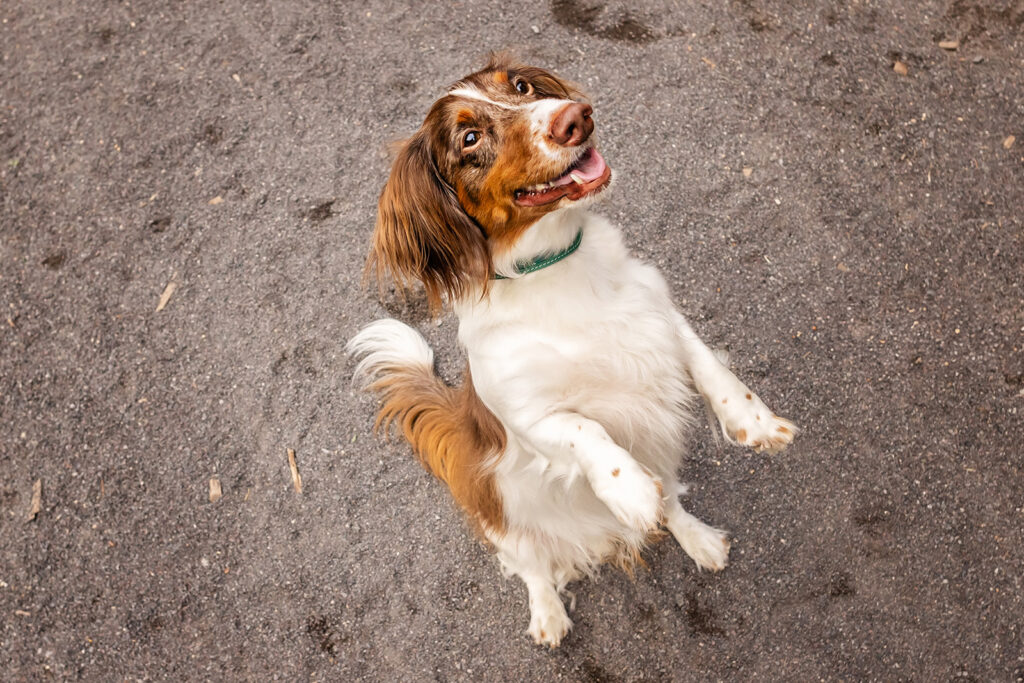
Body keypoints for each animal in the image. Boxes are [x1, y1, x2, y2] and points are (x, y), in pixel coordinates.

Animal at [348, 56, 794, 651]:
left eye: (520, 86)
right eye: (470, 139)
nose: (574, 117)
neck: (557, 268)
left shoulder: (657, 312)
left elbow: (710, 365)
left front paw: (755, 422)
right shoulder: (530, 416)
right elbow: (588, 431)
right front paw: (626, 487)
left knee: (672, 505)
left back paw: (699, 539)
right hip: (501, 516)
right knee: (532, 564)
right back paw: (549, 615)